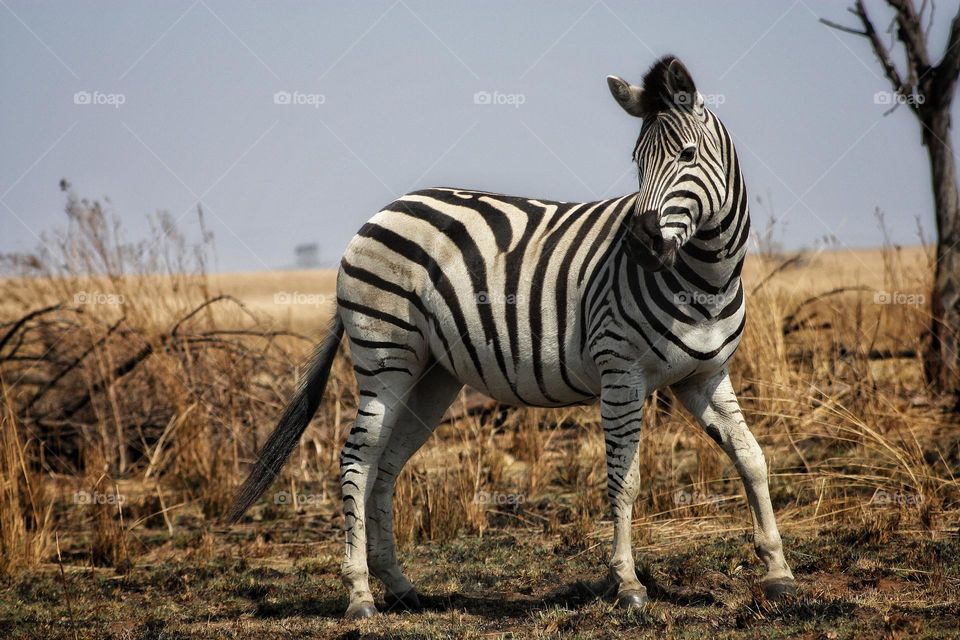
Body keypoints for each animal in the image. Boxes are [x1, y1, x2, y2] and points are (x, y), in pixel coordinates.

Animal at [228, 55, 797, 618]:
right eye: (637, 161)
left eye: (687, 153)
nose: (639, 244)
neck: (705, 280)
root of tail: (386, 209)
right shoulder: (621, 373)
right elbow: (625, 479)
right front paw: (628, 584)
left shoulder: (705, 376)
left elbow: (752, 457)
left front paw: (778, 571)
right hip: (385, 356)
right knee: (357, 461)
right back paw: (360, 595)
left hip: (431, 376)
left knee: (385, 467)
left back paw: (400, 586)